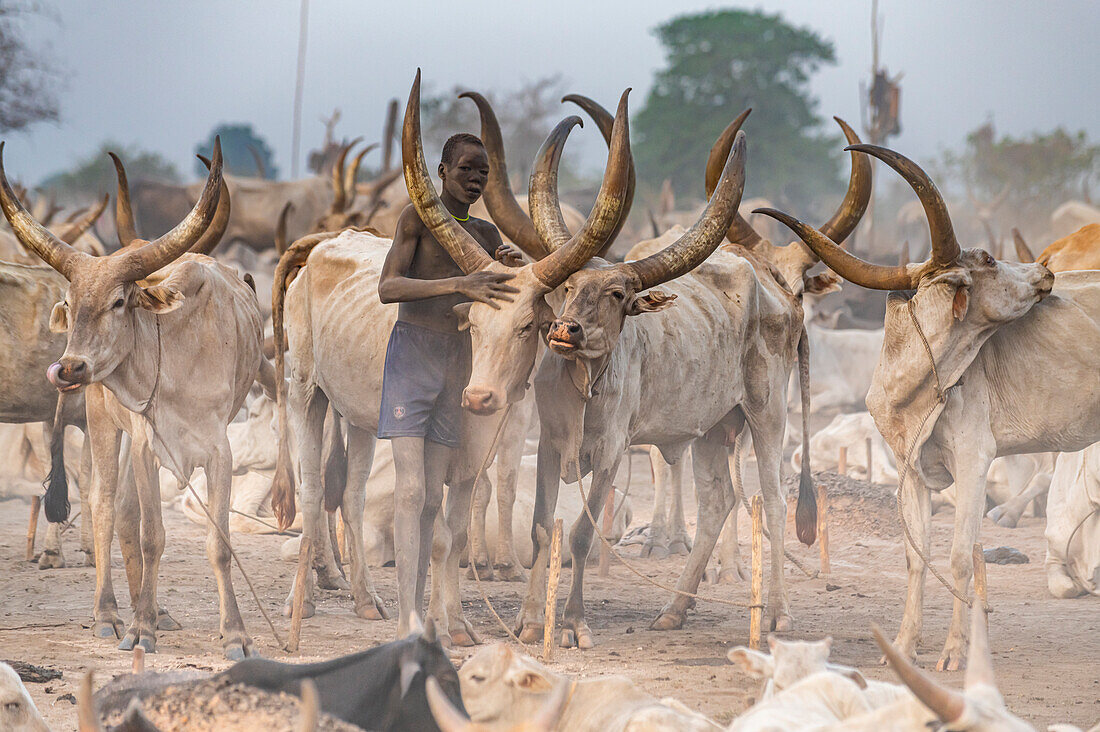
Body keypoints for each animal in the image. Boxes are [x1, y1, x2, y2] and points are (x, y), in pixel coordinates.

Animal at [2, 139, 267, 660]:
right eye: (70, 302)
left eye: (120, 301)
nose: (69, 369)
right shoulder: (147, 448)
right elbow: (150, 536)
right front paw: (140, 628)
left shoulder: (218, 451)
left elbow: (219, 542)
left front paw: (235, 634)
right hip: (104, 427)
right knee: (105, 508)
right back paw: (108, 615)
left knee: (121, 511)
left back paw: (153, 611)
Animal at [756, 140, 1100, 669]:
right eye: (988, 260)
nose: (1045, 271)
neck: (915, 380)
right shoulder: (909, 468)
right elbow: (915, 555)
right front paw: (903, 646)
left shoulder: (975, 460)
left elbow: (960, 557)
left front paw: (956, 651)